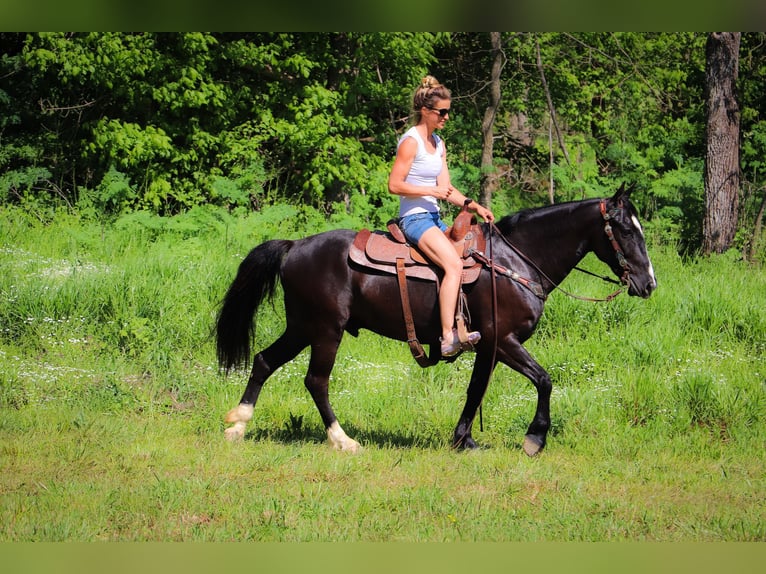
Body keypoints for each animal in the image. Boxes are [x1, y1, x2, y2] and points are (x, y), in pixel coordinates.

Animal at [218, 187, 660, 456]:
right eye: (624, 229)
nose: (648, 283)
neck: (514, 261)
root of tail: (294, 246)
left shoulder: (487, 347)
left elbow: (475, 391)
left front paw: (463, 440)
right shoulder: (504, 340)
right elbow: (544, 379)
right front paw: (534, 438)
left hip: (302, 327)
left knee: (264, 361)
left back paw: (237, 425)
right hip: (326, 330)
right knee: (316, 381)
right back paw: (343, 440)